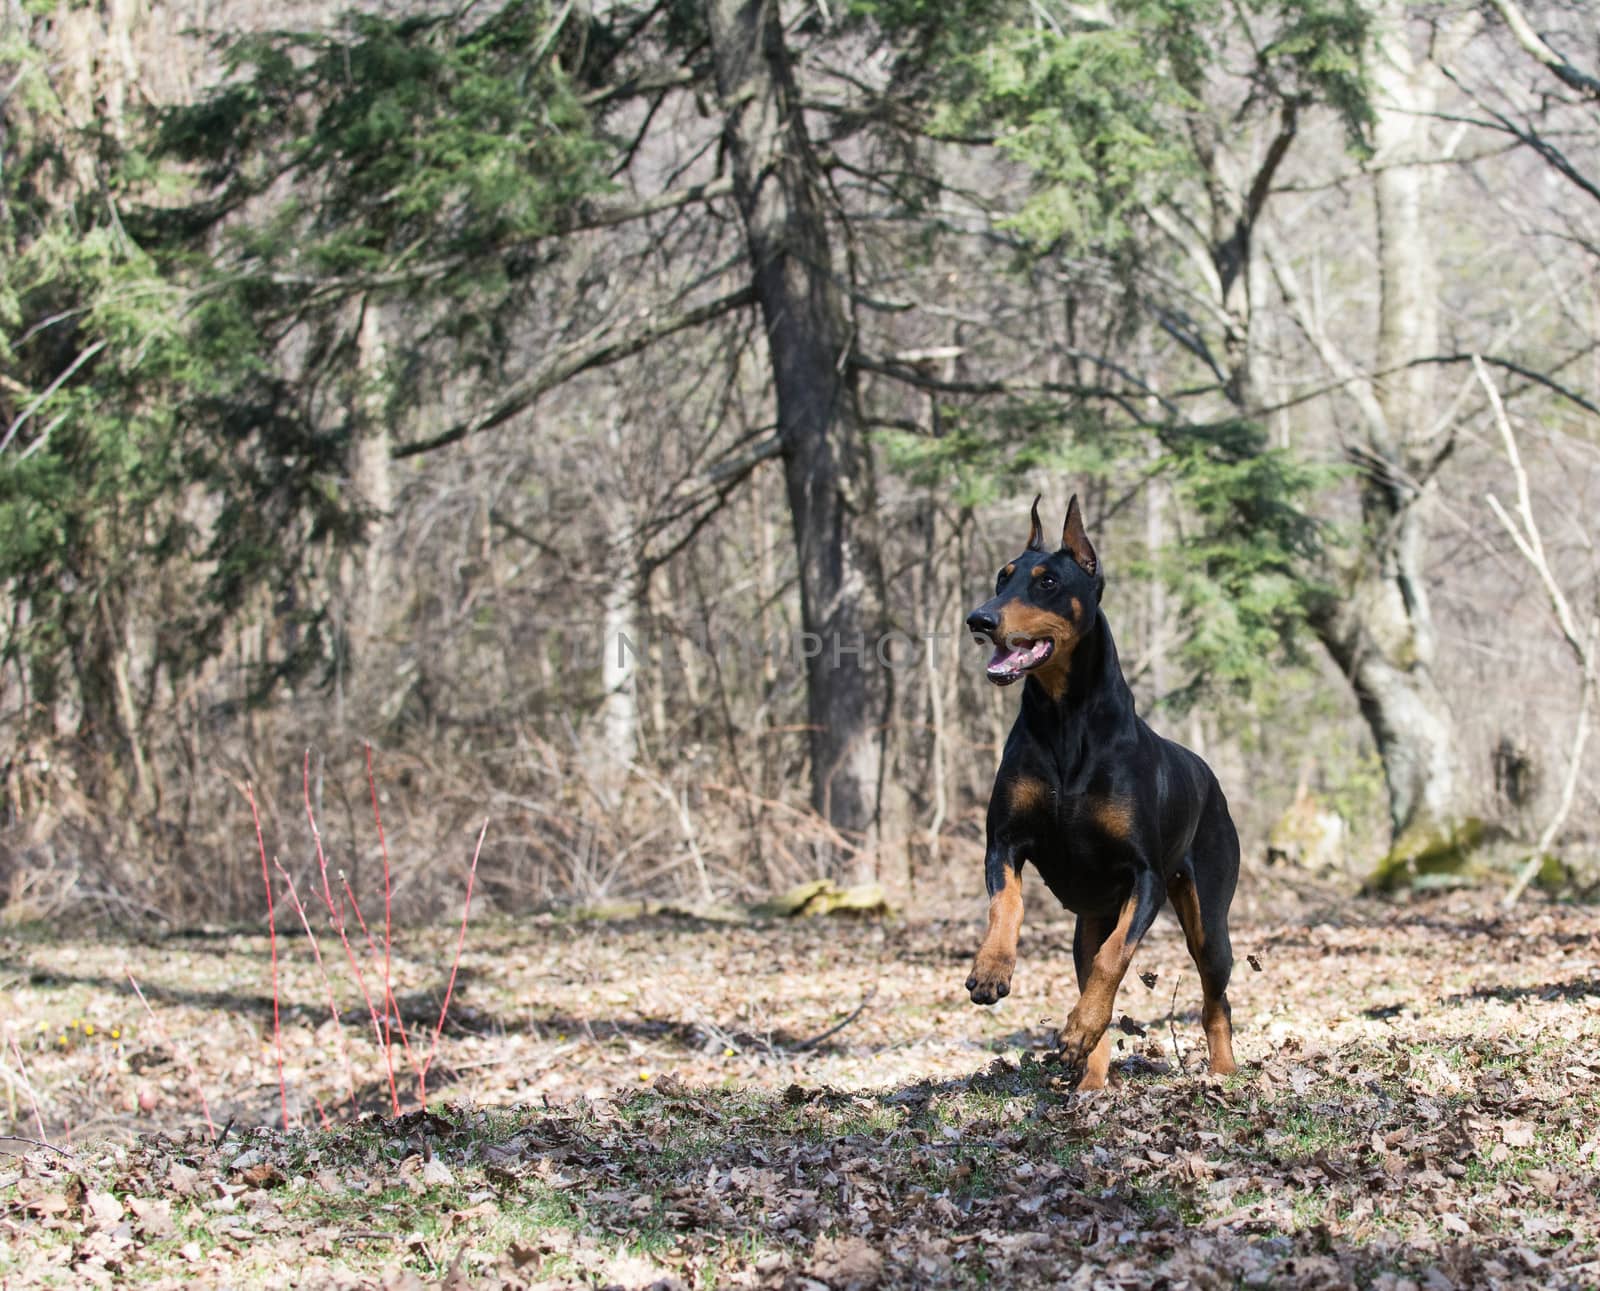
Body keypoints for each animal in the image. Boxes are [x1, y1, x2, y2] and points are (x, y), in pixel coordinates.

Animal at [960, 495, 1235, 1087]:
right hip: (1089, 919)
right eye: (1002, 577)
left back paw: (1223, 1072)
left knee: (1214, 997)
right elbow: (1006, 904)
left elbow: (1115, 960)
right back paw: (1089, 1075)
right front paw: (991, 967)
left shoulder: (1146, 876)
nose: (979, 618)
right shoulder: (1004, 842)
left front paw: (1080, 1024)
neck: (1066, 717)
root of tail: (1207, 772)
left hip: (1209, 920)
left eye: (1046, 582)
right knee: (1091, 970)